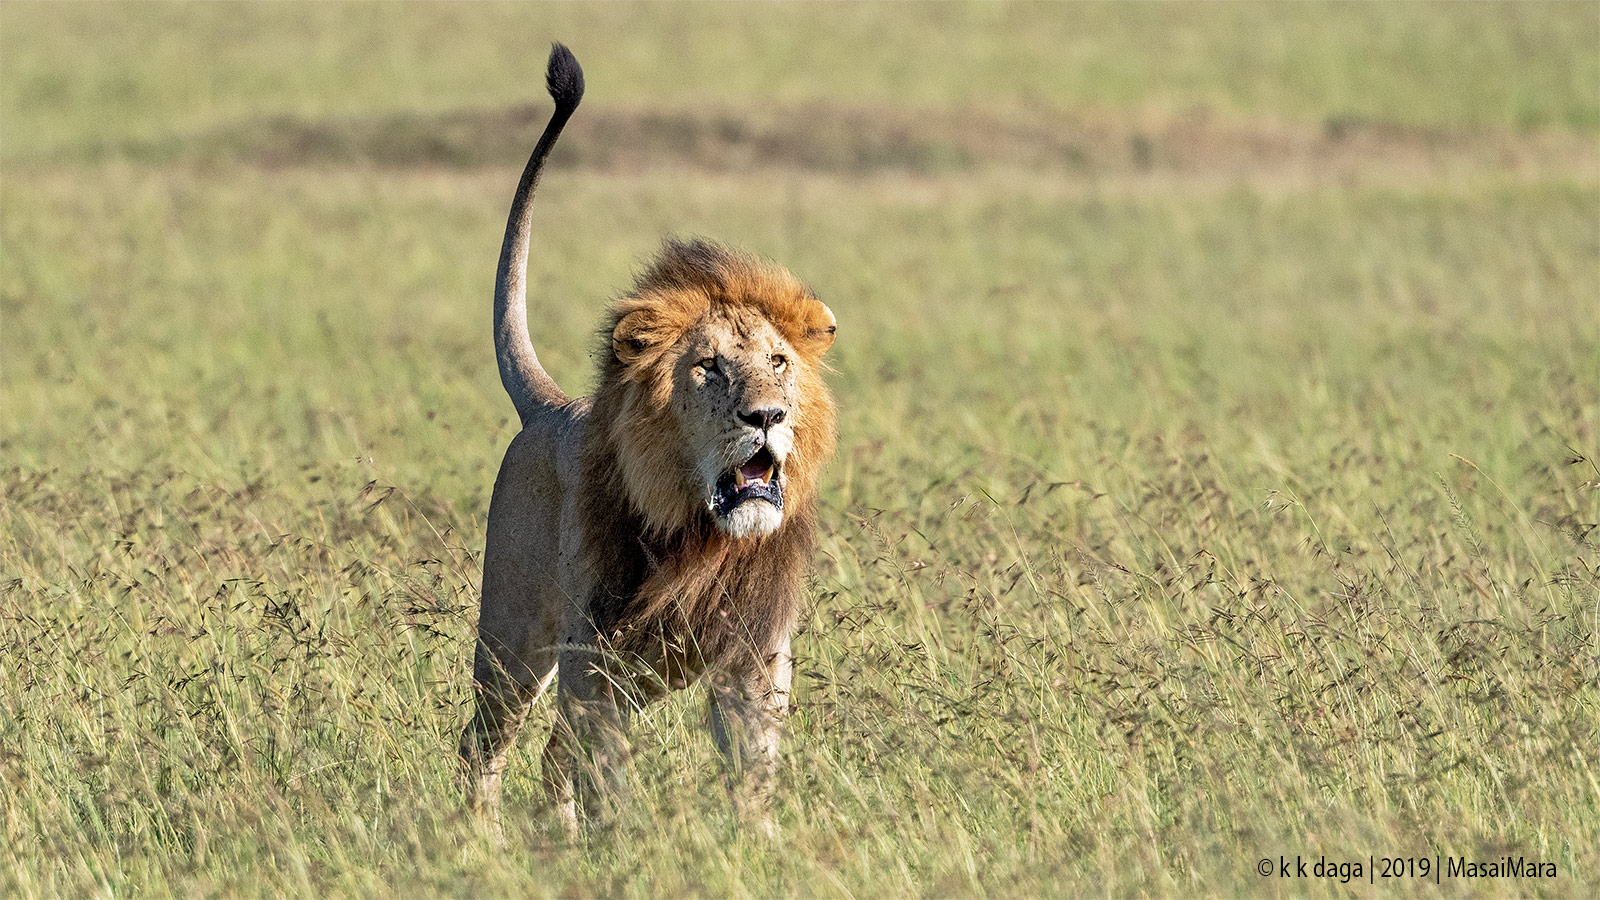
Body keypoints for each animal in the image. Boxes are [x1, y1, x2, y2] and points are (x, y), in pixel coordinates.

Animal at [457, 40, 838, 826]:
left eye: (778, 362)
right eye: (708, 367)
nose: (768, 416)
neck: (701, 537)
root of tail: (551, 408)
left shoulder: (755, 662)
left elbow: (752, 772)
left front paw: (755, 839)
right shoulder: (599, 660)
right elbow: (608, 771)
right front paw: (627, 838)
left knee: (552, 756)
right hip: (515, 641)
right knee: (488, 744)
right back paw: (482, 839)